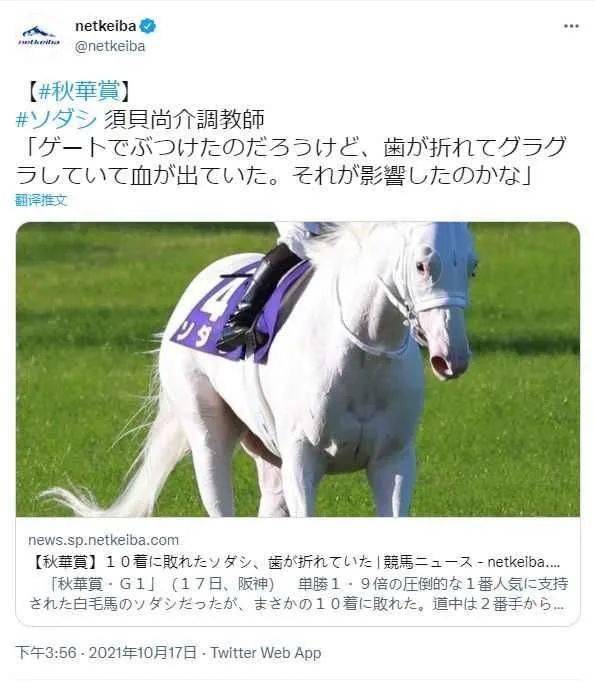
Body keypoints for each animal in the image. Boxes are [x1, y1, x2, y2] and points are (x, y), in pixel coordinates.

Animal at [44, 221, 478, 517]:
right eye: (423, 265)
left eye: (472, 267)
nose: (451, 356)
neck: (362, 359)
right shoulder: (303, 460)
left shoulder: (393, 460)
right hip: (206, 429)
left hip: (267, 452)